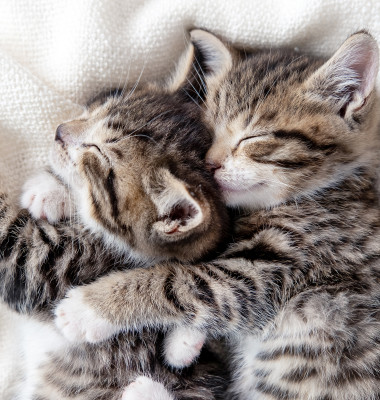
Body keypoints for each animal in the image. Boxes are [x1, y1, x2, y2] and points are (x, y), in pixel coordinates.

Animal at [0, 79, 230, 400]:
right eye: (98, 107)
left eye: (97, 152)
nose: (59, 130)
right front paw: (49, 191)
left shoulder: (51, 266)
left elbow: (12, 246)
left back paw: (145, 389)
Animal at [54, 28, 380, 400]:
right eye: (210, 129)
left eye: (254, 138)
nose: (211, 164)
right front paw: (183, 342)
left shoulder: (283, 264)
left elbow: (181, 282)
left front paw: (84, 310)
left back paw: (143, 390)